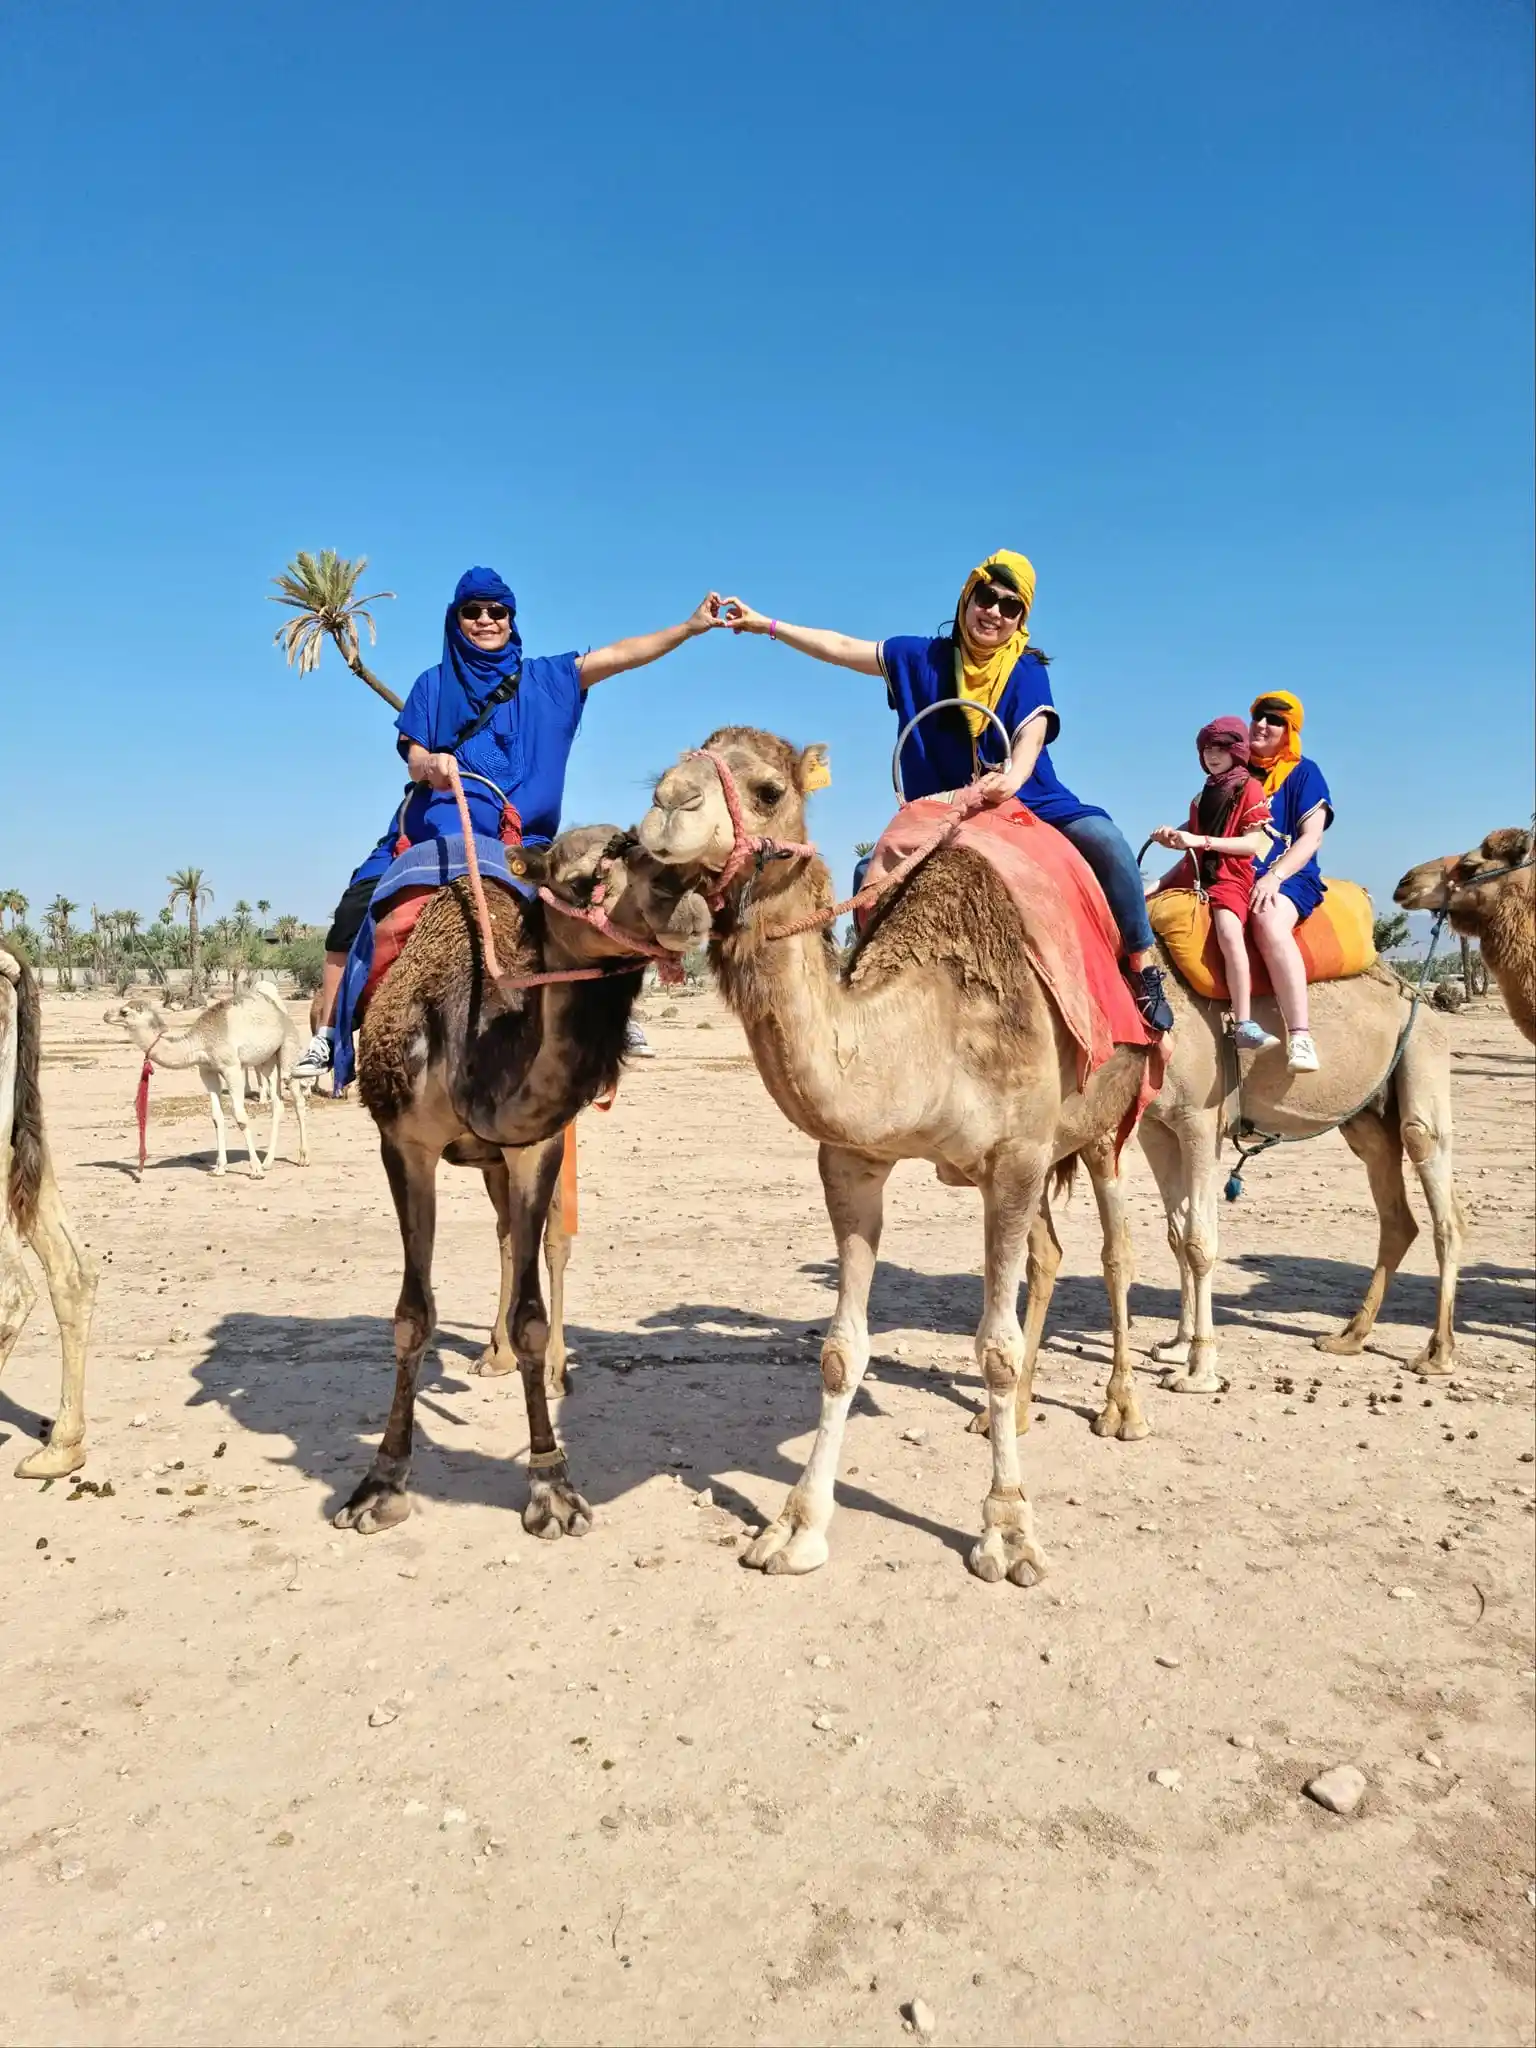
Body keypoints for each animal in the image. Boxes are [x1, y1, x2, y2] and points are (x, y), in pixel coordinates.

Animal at [105, 983, 310, 1177]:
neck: (200, 1042)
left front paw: (255, 1170)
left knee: (298, 1099)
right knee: (277, 1103)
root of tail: (282, 1014)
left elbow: (241, 1117)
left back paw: (302, 1158)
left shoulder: (231, 1067)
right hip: (267, 1060)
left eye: (124, 1011)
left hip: (288, 1048)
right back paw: (268, 1162)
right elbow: (216, 1117)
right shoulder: (207, 1071)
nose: (106, 1015)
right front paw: (219, 1168)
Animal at [335, 826, 710, 1541]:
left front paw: (552, 1488)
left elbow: (534, 1310)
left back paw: (555, 1370)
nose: (689, 897)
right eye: (581, 879)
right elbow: (412, 1316)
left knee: (551, 1244)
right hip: (485, 1162)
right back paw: (494, 1354)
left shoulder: (536, 1144)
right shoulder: (403, 1143)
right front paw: (381, 1485)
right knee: (508, 1235)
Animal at [640, 730, 1158, 1587]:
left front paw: (1008, 1534)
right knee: (1049, 1254)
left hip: (1106, 1123)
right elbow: (840, 1352)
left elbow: (992, 1347)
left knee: (1117, 1252)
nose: (665, 806)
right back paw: (1014, 1413)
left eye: (769, 789)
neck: (933, 1021)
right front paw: (795, 1529)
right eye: (670, 768)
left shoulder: (1016, 1155)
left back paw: (1122, 1408)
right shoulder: (855, 1160)